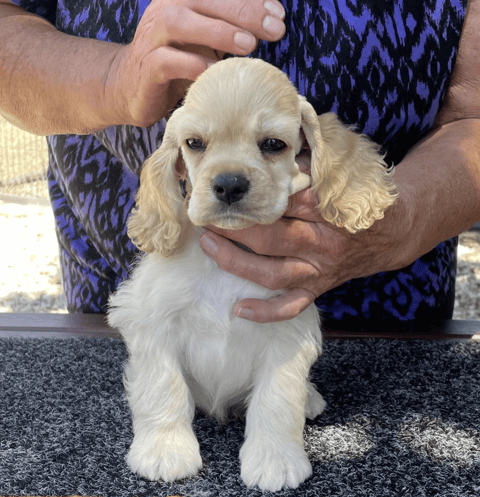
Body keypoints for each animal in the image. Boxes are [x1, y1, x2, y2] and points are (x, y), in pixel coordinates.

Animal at [109, 56, 398, 490]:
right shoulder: (151, 320)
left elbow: (276, 399)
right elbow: (164, 387)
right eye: (194, 143)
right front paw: (165, 451)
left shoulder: (286, 329)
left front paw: (275, 459)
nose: (229, 184)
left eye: (273, 144)